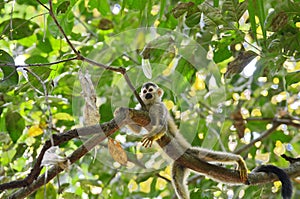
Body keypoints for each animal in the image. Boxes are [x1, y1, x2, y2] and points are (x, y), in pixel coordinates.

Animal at [119, 81, 290, 198]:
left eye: (150, 90)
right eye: (144, 91)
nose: (146, 94)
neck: (150, 105)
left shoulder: (160, 107)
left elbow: (162, 127)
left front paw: (152, 135)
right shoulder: (142, 109)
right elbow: (136, 127)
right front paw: (121, 111)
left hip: (191, 152)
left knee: (209, 155)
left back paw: (238, 159)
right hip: (179, 165)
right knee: (177, 182)